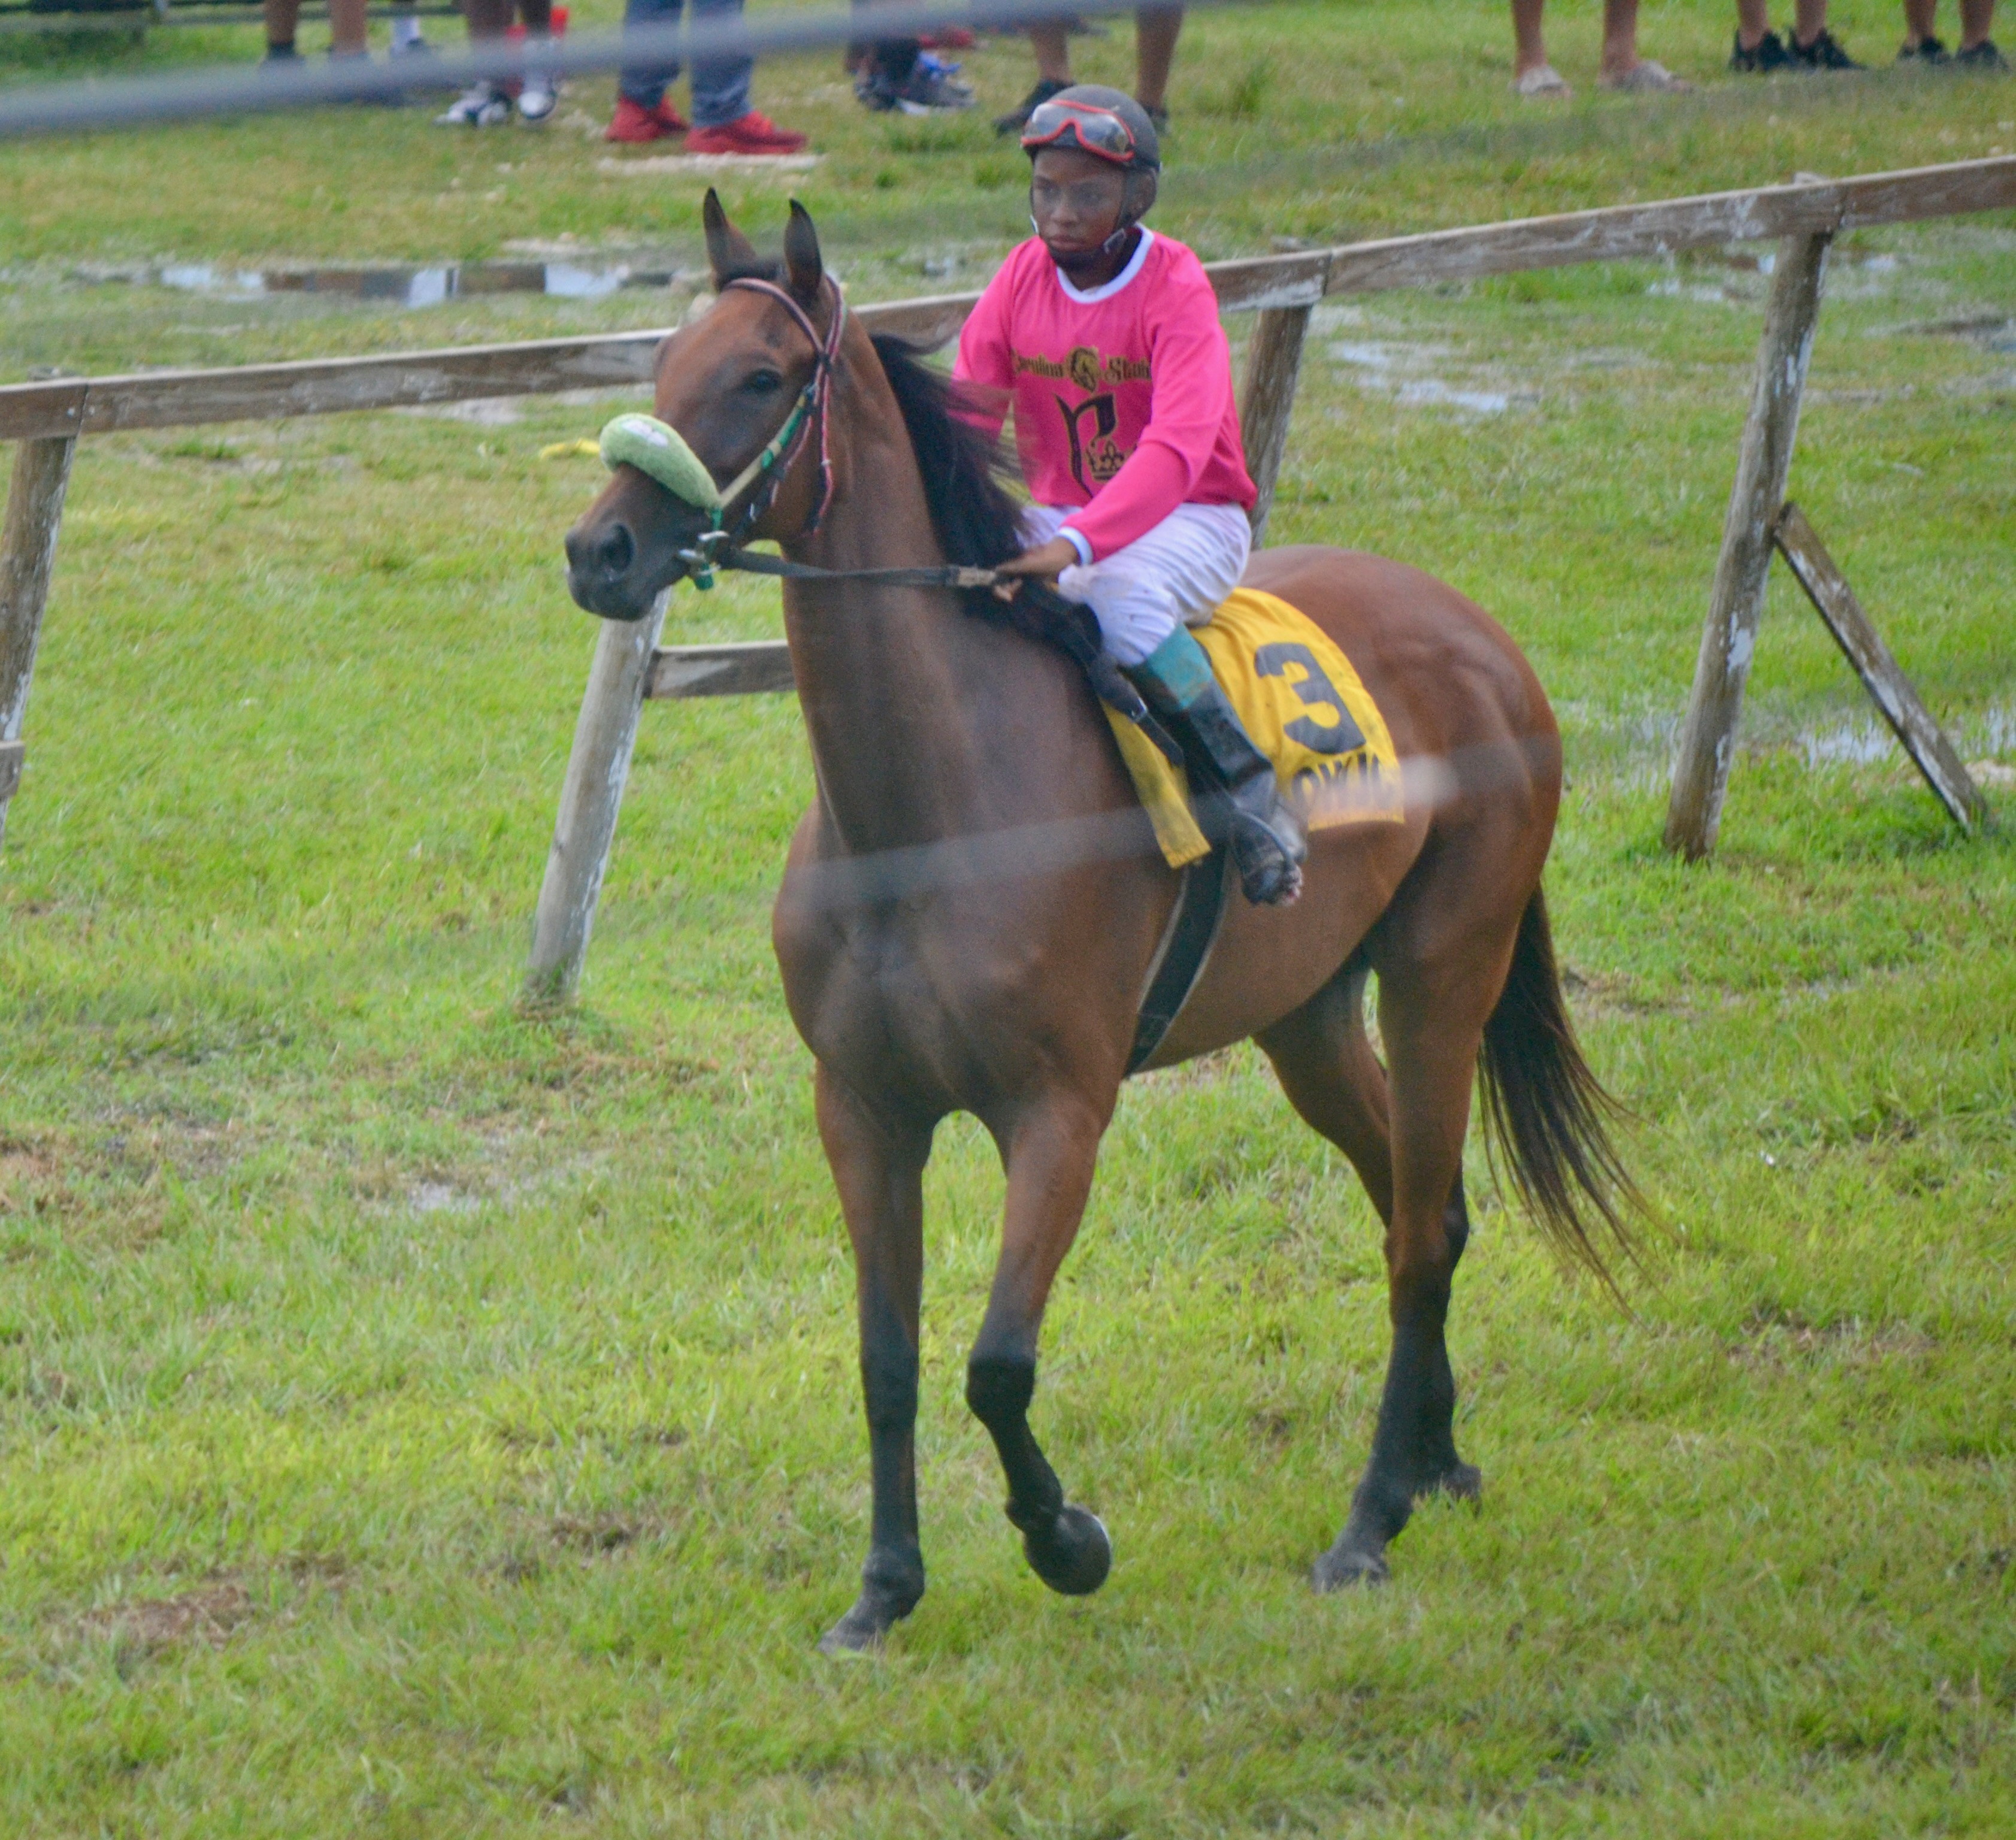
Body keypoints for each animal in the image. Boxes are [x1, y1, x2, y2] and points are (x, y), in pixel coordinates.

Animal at [568, 197, 1637, 1653]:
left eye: (759, 377)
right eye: (664, 360)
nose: (601, 551)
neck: (928, 817)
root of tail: (1480, 634)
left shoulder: (1058, 1113)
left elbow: (996, 1364)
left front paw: (1065, 1538)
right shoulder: (864, 1109)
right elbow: (887, 1359)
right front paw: (883, 1590)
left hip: (1441, 975)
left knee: (1419, 1234)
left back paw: (1368, 1524)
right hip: (1308, 1020)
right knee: (1429, 1209)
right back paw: (1437, 1460)